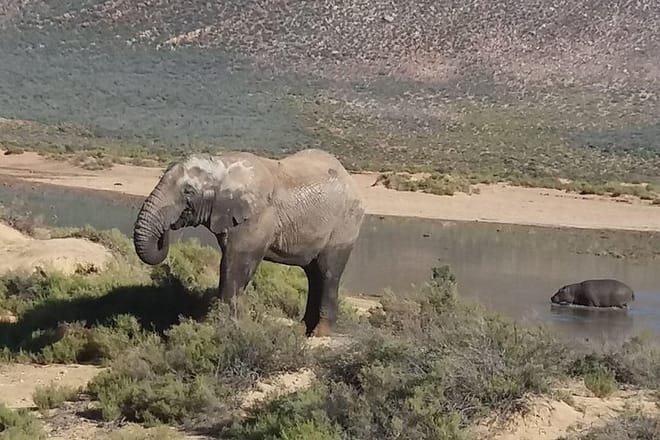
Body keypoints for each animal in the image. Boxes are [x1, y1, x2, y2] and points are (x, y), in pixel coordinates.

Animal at [132, 148, 366, 337]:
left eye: (188, 192)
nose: (168, 229)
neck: (222, 165)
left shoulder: (257, 217)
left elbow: (235, 264)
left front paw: (222, 328)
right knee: (314, 275)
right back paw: (301, 332)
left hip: (345, 225)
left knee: (327, 273)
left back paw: (319, 334)